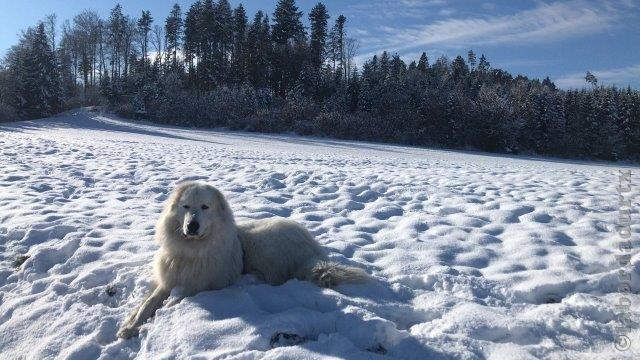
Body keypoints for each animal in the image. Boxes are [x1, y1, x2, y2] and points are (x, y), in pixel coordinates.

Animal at [117, 181, 368, 338]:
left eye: (205, 207)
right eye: (185, 207)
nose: (192, 225)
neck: (192, 251)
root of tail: (313, 249)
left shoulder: (202, 285)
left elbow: (173, 301)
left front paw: (152, 320)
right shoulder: (167, 280)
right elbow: (147, 304)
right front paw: (129, 326)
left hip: (264, 245)